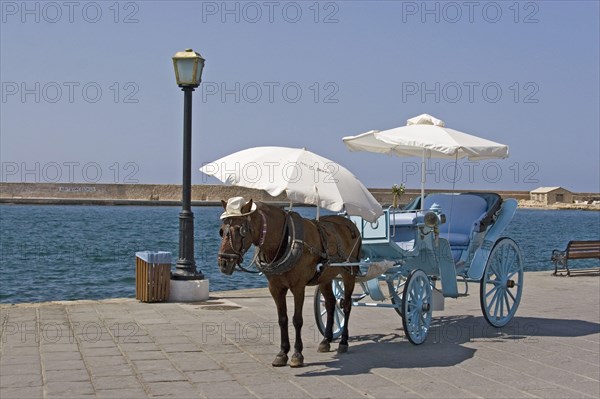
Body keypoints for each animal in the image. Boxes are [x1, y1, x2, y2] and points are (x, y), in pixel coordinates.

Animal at [219, 198, 360, 368]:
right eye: (221, 230)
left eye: (242, 230)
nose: (224, 263)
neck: (285, 240)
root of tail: (349, 223)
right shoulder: (275, 288)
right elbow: (282, 319)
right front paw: (282, 353)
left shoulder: (298, 287)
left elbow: (297, 320)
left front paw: (297, 354)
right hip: (325, 277)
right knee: (331, 303)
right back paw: (326, 340)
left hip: (349, 272)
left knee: (346, 305)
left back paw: (343, 342)